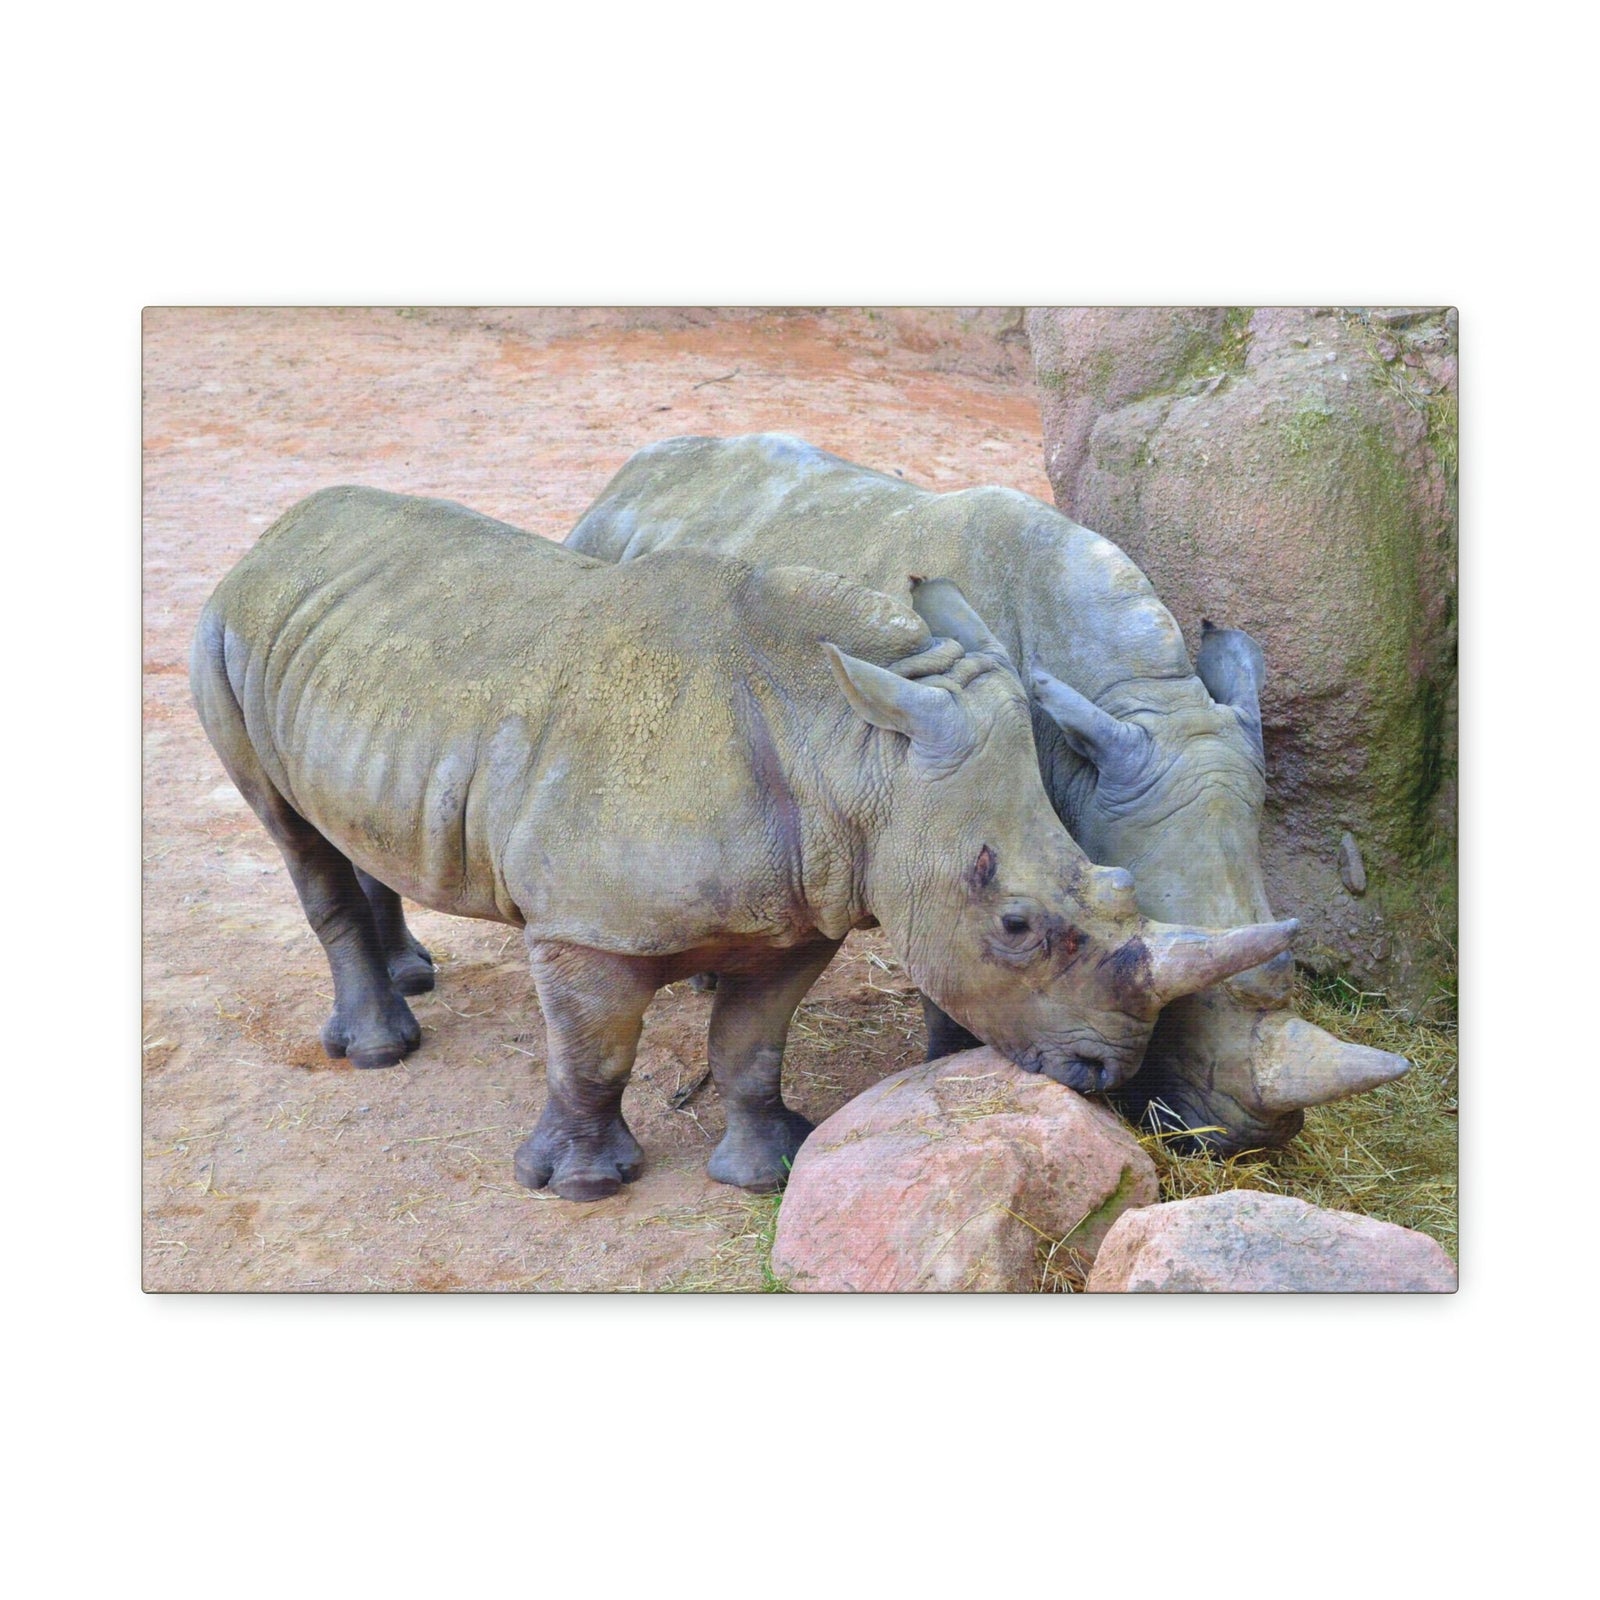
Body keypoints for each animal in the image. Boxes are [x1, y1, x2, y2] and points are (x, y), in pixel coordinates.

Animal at [191, 485, 1298, 1200]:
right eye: (1017, 923)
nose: (1105, 1072)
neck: (855, 749)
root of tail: (274, 535)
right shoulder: (583, 924)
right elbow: (593, 1049)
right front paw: (581, 1187)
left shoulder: (802, 906)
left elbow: (753, 1044)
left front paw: (767, 1170)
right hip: (221, 629)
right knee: (290, 832)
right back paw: (382, 1048)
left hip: (344, 647)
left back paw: (413, 977)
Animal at [565, 432, 1410, 1153]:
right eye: (1185, 1005)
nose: (1242, 1141)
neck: (1138, 703)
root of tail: (626, 475)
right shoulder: (952, 818)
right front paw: (952, 1065)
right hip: (604, 576)